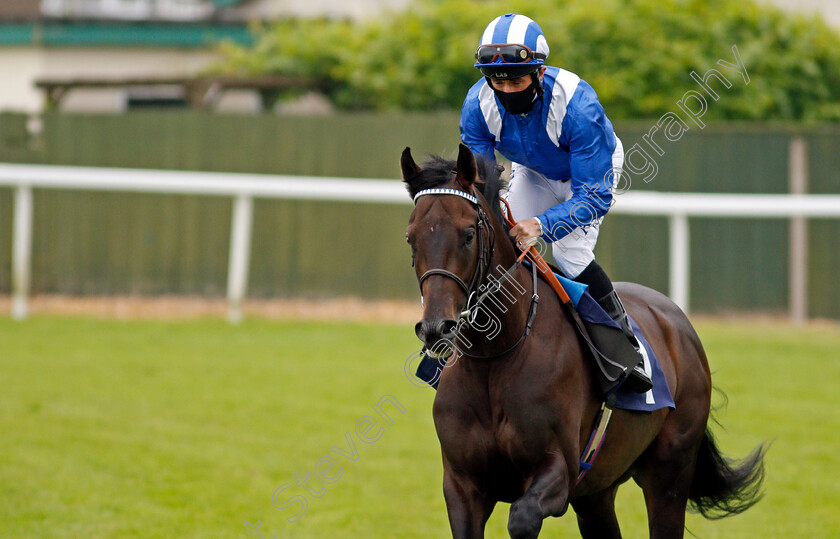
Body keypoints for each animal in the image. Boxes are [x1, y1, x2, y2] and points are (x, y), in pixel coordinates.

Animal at [404, 144, 764, 539]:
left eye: (468, 233)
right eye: (411, 237)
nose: (437, 327)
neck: (496, 357)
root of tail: (678, 322)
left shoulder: (560, 471)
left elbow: (522, 518)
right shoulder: (462, 486)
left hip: (670, 472)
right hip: (597, 490)